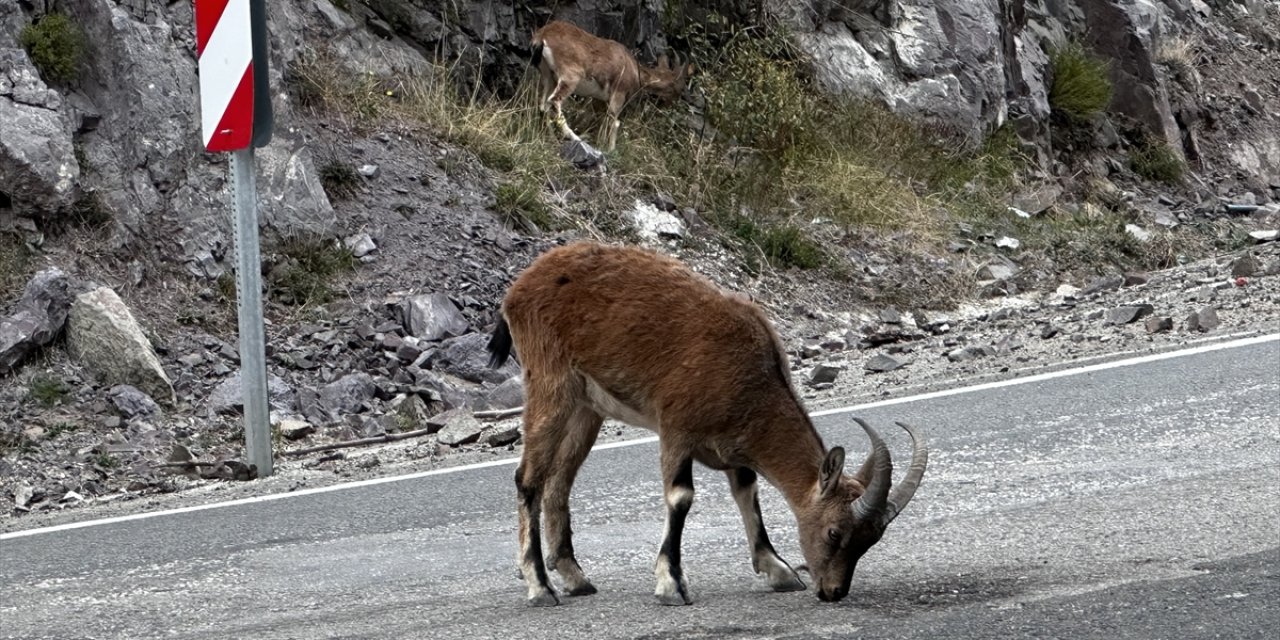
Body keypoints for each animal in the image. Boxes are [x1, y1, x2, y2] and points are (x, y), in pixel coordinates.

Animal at [486, 240, 931, 604]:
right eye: (834, 532)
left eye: (871, 539)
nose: (833, 591)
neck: (746, 376)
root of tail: (518, 289)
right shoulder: (676, 428)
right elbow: (681, 497)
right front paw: (671, 583)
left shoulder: (733, 445)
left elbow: (747, 491)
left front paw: (778, 569)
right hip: (550, 382)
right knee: (529, 479)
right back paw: (540, 586)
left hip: (588, 408)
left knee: (559, 482)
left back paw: (575, 578)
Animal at [527, 20, 696, 151]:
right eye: (680, 88)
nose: (673, 104)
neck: (633, 68)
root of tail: (542, 36)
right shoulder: (618, 93)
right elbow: (615, 121)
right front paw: (611, 149)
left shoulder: (601, 99)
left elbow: (604, 120)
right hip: (570, 76)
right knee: (554, 101)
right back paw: (575, 138)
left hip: (548, 76)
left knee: (543, 106)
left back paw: (551, 138)